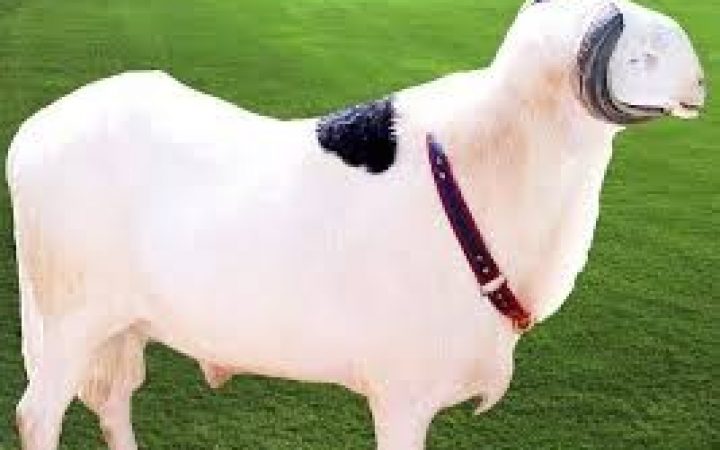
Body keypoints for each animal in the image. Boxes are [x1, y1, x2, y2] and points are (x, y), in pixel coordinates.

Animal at [7, 0, 705, 449]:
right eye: (644, 55)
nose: (701, 82)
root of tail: (33, 134)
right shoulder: (403, 392)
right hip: (68, 317)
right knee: (37, 415)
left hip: (120, 325)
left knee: (113, 400)